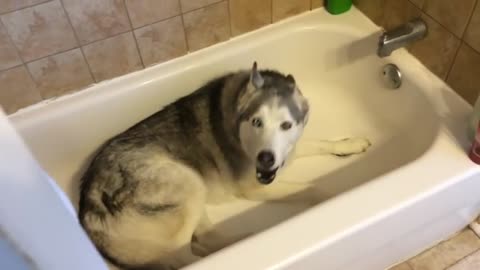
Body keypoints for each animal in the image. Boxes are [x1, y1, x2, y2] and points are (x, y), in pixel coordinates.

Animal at [79, 62, 372, 268]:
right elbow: (312, 187)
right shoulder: (253, 188)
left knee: (205, 240)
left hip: (191, 191)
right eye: (256, 122)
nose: (265, 158)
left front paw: (350, 145)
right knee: (185, 258)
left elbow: (320, 143)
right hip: (187, 182)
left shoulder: (288, 153)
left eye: (286, 125)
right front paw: (333, 197)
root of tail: (87, 212)